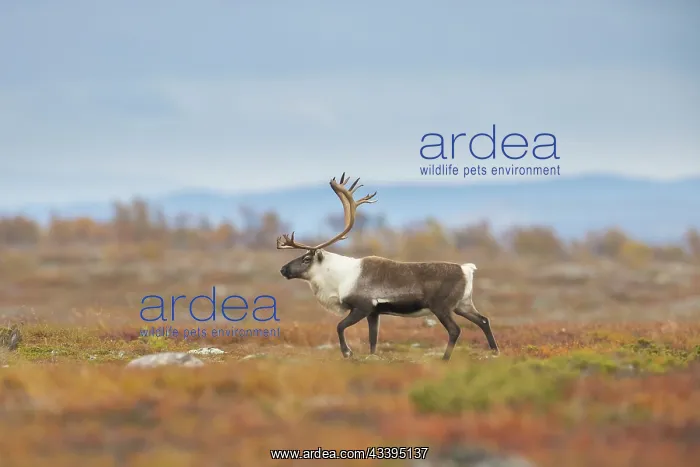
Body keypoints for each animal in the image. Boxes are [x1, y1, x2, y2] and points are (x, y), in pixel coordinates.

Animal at [276, 173, 500, 361]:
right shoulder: (374, 313)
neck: (339, 279)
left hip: (442, 307)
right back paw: (495, 351)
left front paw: (347, 352)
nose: (283, 270)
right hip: (463, 304)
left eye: (306, 258)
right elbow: (373, 340)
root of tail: (467, 269)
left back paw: (445, 359)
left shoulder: (363, 306)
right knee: (483, 320)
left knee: (455, 329)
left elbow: (339, 326)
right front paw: (371, 357)